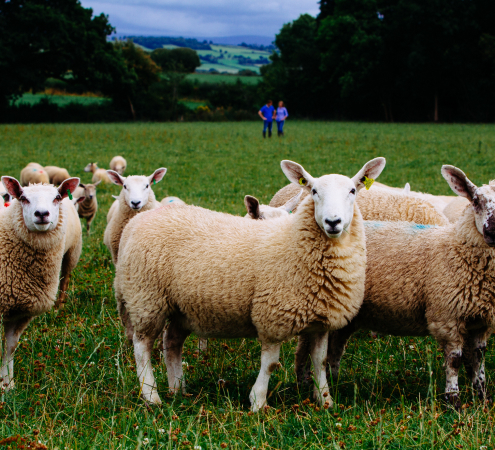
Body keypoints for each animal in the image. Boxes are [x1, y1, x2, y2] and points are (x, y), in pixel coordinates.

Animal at [0, 176, 80, 390]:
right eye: (23, 198)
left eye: (57, 197)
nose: (42, 214)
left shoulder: (19, 311)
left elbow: (10, 347)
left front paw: (8, 385)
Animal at [115, 156, 388, 410]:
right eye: (313, 191)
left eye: (352, 191)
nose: (333, 222)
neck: (294, 241)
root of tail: (137, 221)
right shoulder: (272, 316)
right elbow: (270, 364)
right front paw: (257, 402)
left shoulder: (321, 320)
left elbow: (319, 361)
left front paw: (325, 401)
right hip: (146, 299)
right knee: (142, 347)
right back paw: (151, 396)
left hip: (182, 308)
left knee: (171, 342)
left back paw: (178, 389)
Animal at [294, 165, 495, 408]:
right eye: (475, 201)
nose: (493, 231)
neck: (455, 246)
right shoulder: (447, 317)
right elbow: (454, 360)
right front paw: (454, 401)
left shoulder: (481, 322)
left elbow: (478, 358)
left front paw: (482, 396)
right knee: (305, 347)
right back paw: (304, 384)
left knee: (335, 346)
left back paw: (335, 381)